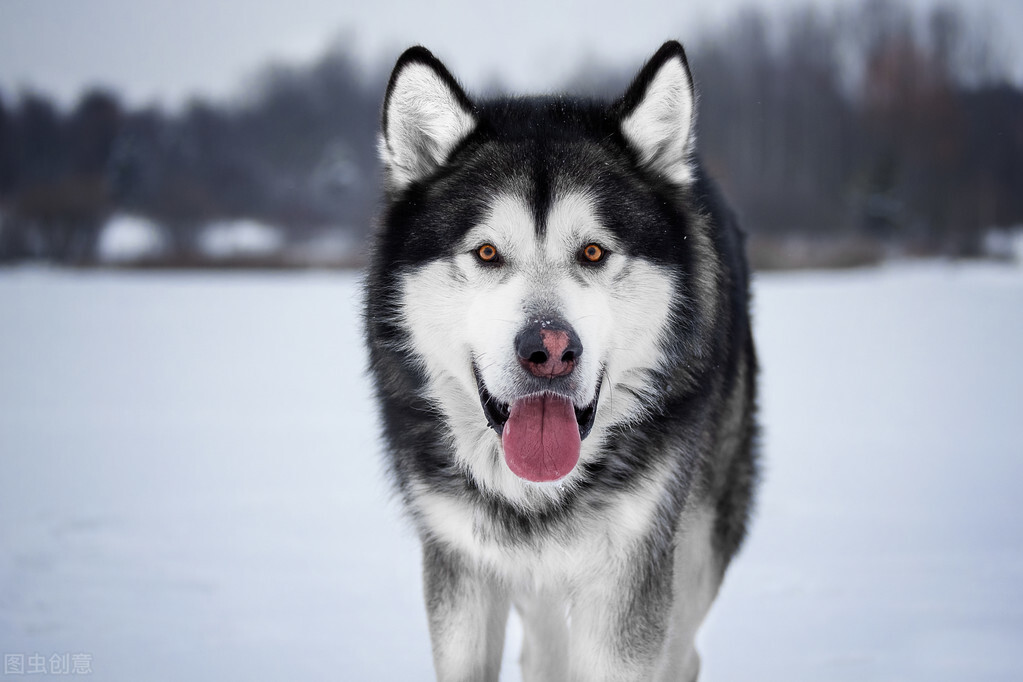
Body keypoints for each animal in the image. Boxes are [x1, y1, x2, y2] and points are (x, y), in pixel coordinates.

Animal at [364, 41, 757, 682]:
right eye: (487, 253)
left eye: (593, 252)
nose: (548, 349)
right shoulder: (461, 563)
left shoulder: (628, 572)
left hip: (695, 542)